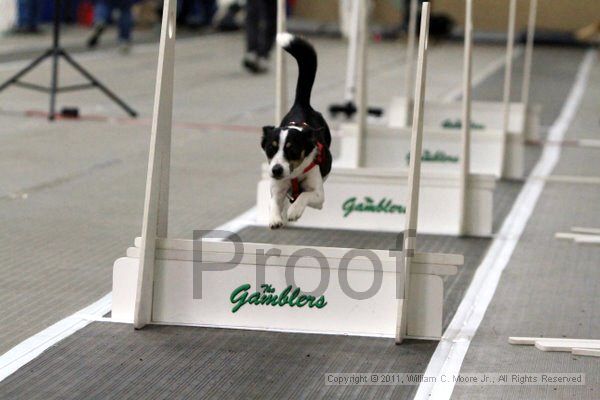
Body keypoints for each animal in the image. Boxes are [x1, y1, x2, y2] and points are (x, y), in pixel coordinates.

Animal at [260, 33, 332, 230]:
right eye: (271, 149)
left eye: (292, 149)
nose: (276, 170)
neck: (293, 175)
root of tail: (301, 104)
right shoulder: (277, 189)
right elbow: (274, 202)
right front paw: (275, 218)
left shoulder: (318, 196)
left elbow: (305, 195)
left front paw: (294, 211)